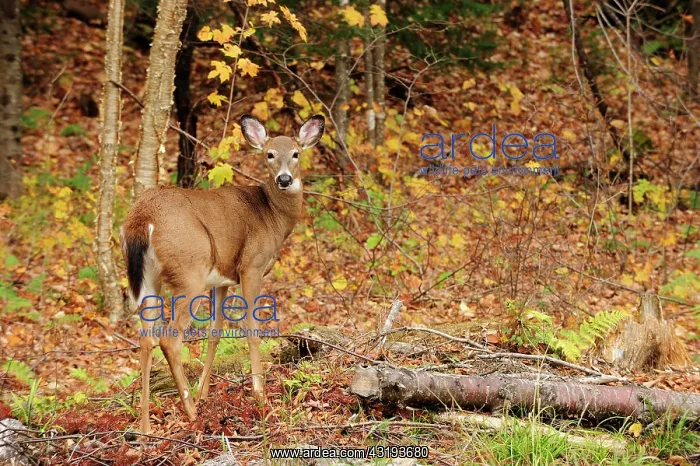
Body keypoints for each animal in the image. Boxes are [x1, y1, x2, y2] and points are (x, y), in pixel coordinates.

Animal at [121, 114, 325, 433]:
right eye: (269, 154)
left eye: (296, 153)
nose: (284, 179)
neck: (272, 217)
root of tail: (142, 220)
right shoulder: (251, 266)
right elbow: (252, 329)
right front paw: (259, 394)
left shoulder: (222, 280)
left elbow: (215, 333)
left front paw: (204, 392)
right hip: (189, 272)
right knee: (169, 339)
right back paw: (190, 412)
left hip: (147, 280)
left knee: (145, 338)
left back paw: (145, 426)